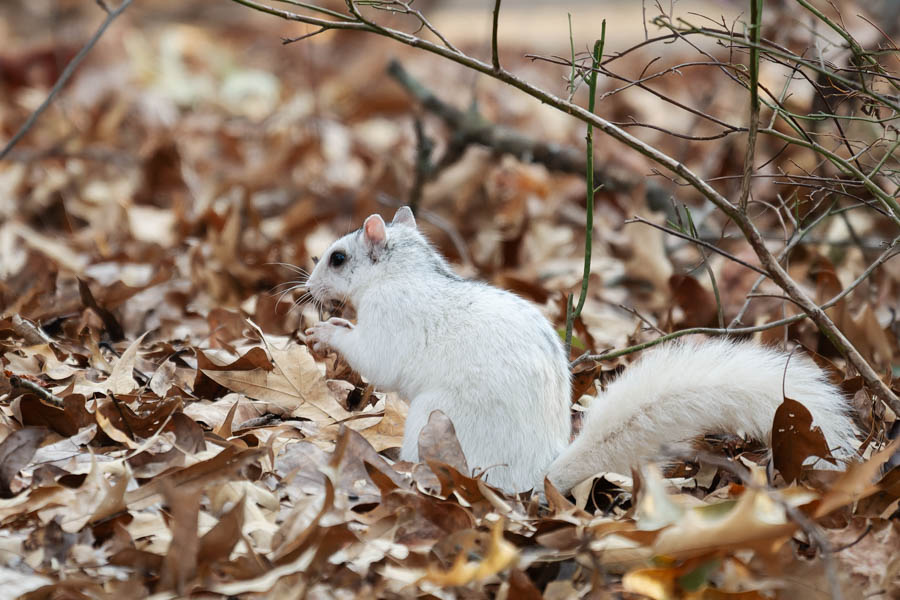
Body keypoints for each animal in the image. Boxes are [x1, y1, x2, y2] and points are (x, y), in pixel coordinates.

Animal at [303, 207, 859, 494]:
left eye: (338, 258)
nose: (306, 289)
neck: (403, 274)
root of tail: (539, 477)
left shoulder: (394, 319)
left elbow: (377, 359)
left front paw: (328, 331)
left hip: (437, 422)